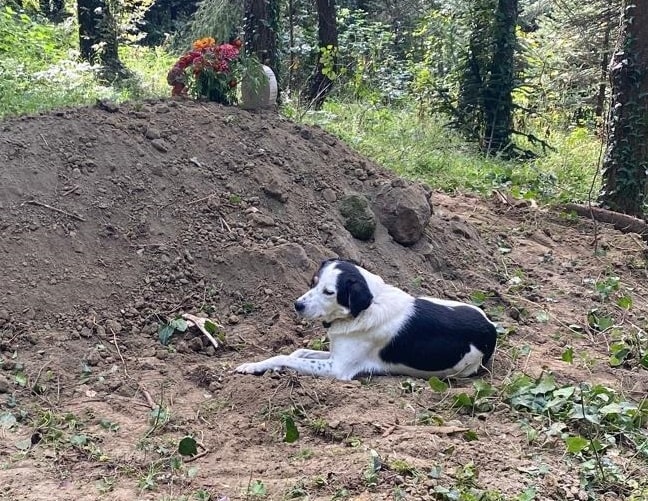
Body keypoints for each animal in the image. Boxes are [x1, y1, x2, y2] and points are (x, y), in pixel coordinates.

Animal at [235, 258, 498, 378]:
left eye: (329, 292)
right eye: (313, 282)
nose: (297, 305)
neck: (364, 309)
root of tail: (491, 327)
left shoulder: (337, 368)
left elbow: (285, 356)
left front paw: (253, 366)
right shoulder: (335, 353)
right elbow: (297, 352)